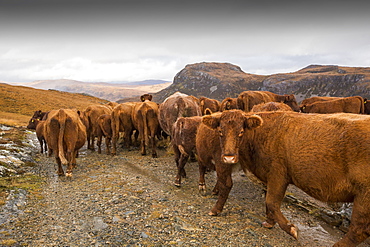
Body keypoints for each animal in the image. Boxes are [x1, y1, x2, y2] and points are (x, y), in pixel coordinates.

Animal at [199, 110, 370, 247]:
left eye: (241, 131)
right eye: (220, 131)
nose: (228, 157)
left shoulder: (278, 174)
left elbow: (271, 202)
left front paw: (290, 228)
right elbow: (268, 201)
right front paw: (269, 222)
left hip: (364, 196)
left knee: (358, 230)